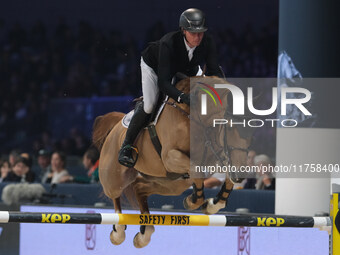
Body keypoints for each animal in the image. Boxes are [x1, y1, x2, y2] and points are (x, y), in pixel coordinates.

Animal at [92, 75, 252, 247]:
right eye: (230, 127)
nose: (240, 177)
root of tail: (116, 126)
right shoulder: (170, 156)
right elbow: (196, 170)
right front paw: (194, 201)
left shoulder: (217, 156)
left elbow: (225, 177)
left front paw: (211, 205)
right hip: (114, 178)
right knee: (115, 195)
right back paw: (119, 232)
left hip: (172, 183)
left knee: (139, 187)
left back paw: (144, 234)